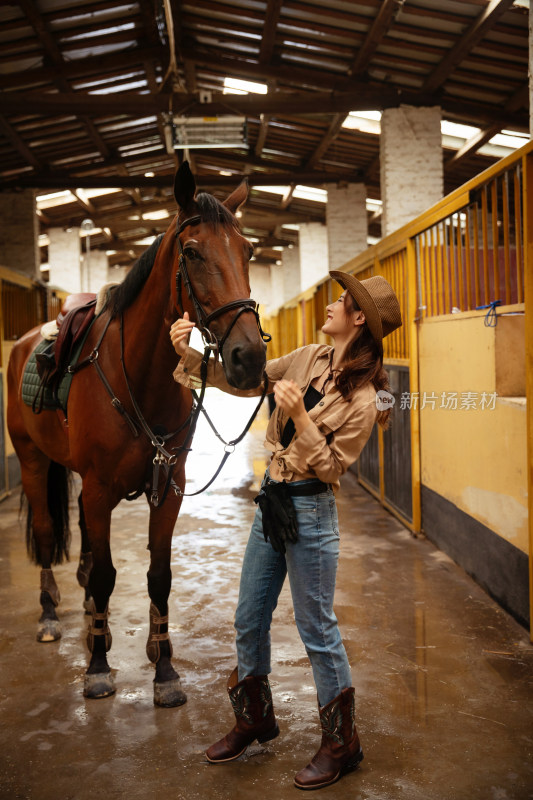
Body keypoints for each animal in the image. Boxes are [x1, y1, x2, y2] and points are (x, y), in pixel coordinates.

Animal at [5, 162, 266, 708]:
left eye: (248, 251)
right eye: (193, 253)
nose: (249, 357)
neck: (140, 377)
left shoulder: (169, 487)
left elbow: (158, 576)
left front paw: (163, 667)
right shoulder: (101, 487)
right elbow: (107, 575)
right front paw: (99, 669)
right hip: (36, 460)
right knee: (47, 533)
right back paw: (50, 616)